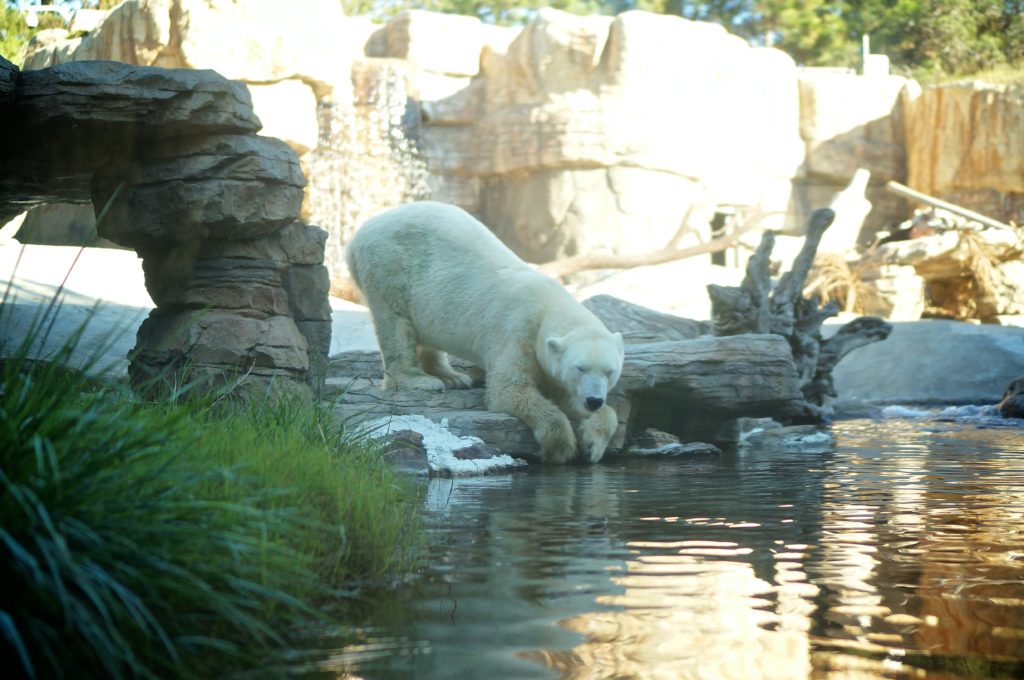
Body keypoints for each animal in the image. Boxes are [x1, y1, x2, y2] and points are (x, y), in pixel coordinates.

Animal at [346, 200, 622, 462]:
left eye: (610, 372)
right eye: (580, 368)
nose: (594, 400)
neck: (548, 306)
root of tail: (359, 234)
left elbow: (565, 394)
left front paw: (593, 443)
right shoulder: (518, 333)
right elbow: (509, 391)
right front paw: (561, 448)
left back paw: (452, 376)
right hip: (388, 265)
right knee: (395, 324)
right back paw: (420, 380)